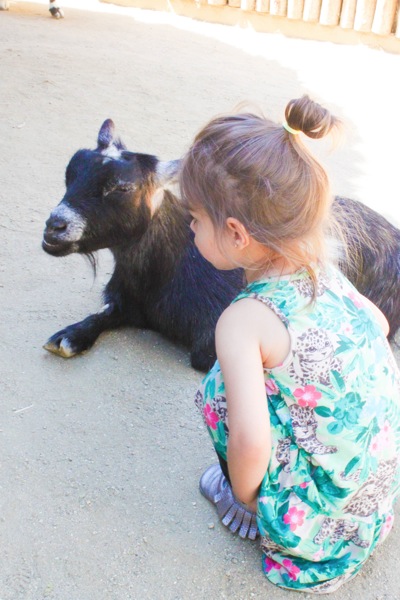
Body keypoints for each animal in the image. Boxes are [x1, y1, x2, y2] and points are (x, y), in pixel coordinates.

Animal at [43, 118, 400, 370]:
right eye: (71, 170)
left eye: (122, 188)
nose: (54, 228)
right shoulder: (129, 301)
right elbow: (103, 314)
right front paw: (69, 336)